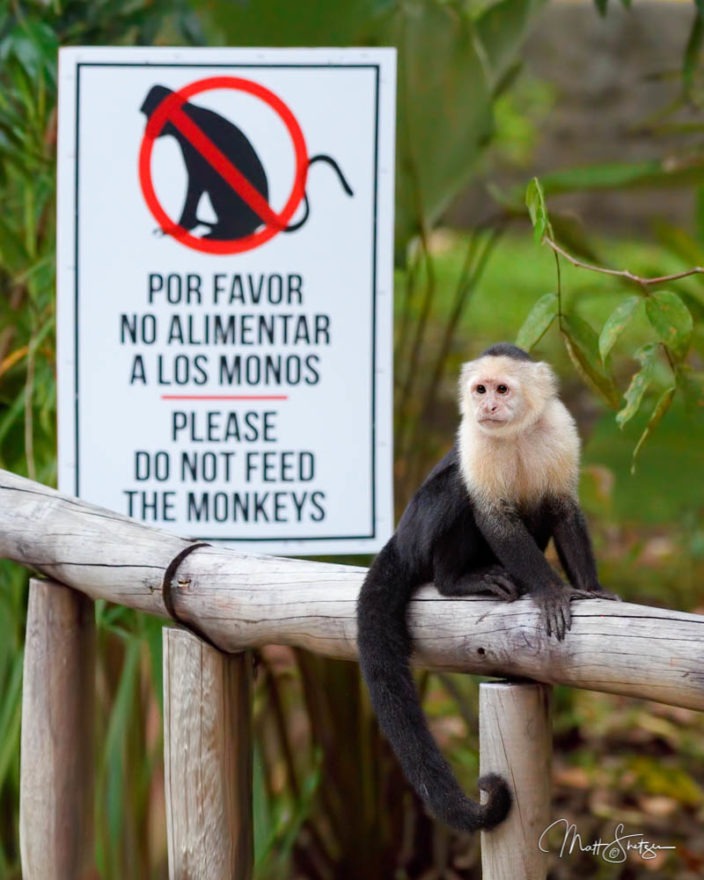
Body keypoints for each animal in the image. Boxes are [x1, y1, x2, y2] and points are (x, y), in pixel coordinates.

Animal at [358, 340, 616, 836]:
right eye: (480, 390)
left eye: (502, 389)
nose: (487, 406)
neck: (514, 432)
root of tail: (401, 538)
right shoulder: (473, 437)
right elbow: (493, 516)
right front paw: (551, 591)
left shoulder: (560, 428)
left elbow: (563, 508)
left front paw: (591, 588)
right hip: (421, 535)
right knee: (456, 486)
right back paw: (460, 580)